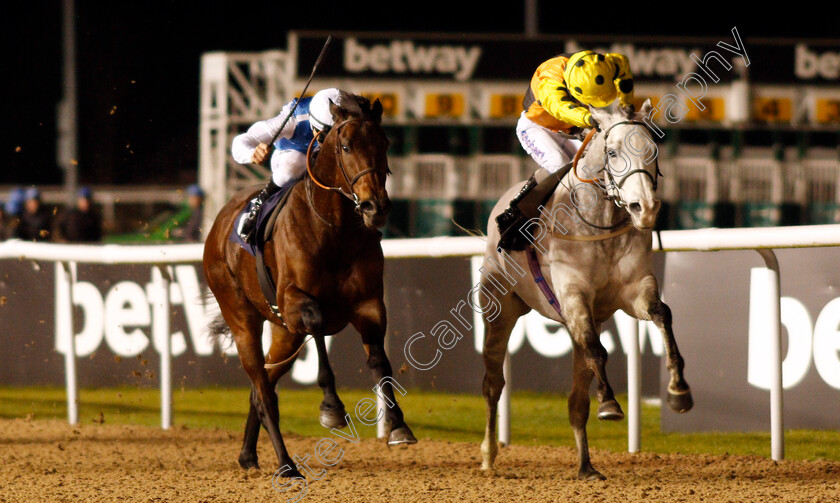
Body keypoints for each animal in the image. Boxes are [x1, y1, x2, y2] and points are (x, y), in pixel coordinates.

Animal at [201, 94, 416, 476]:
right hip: (243, 319)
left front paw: (398, 426)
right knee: (263, 390)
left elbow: (380, 362)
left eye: (385, 143)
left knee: (262, 386)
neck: (335, 230)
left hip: (285, 335)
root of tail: (219, 224)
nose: (376, 206)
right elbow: (318, 328)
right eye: (346, 146)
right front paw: (332, 408)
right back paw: (286, 464)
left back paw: (248, 455)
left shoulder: (369, 303)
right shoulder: (296, 301)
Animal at [480, 100, 696, 482]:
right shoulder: (573, 294)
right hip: (499, 308)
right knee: (493, 382)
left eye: (653, 151)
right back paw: (489, 454)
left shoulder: (634, 290)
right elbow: (598, 350)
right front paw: (609, 404)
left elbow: (662, 314)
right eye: (612, 152)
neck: (600, 221)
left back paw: (586, 465)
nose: (645, 208)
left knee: (576, 400)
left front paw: (678, 390)